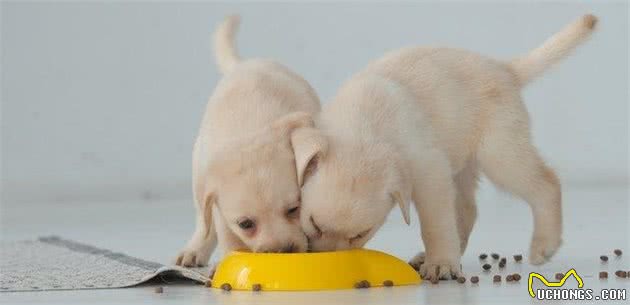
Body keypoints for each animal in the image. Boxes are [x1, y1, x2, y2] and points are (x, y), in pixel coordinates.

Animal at [175, 16, 320, 266]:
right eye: (246, 224)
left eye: (294, 209)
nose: (283, 251)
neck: (250, 131)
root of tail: (242, 65)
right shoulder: (221, 211)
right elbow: (226, 236)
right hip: (199, 174)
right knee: (204, 222)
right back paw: (194, 250)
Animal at [294, 15, 600, 280]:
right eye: (313, 224)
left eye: (360, 234)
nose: (326, 265)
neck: (364, 127)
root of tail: (504, 68)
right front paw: (441, 260)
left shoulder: (429, 174)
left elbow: (436, 224)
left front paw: (441, 263)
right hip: (463, 164)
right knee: (467, 210)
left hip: (500, 155)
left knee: (546, 183)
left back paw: (543, 245)